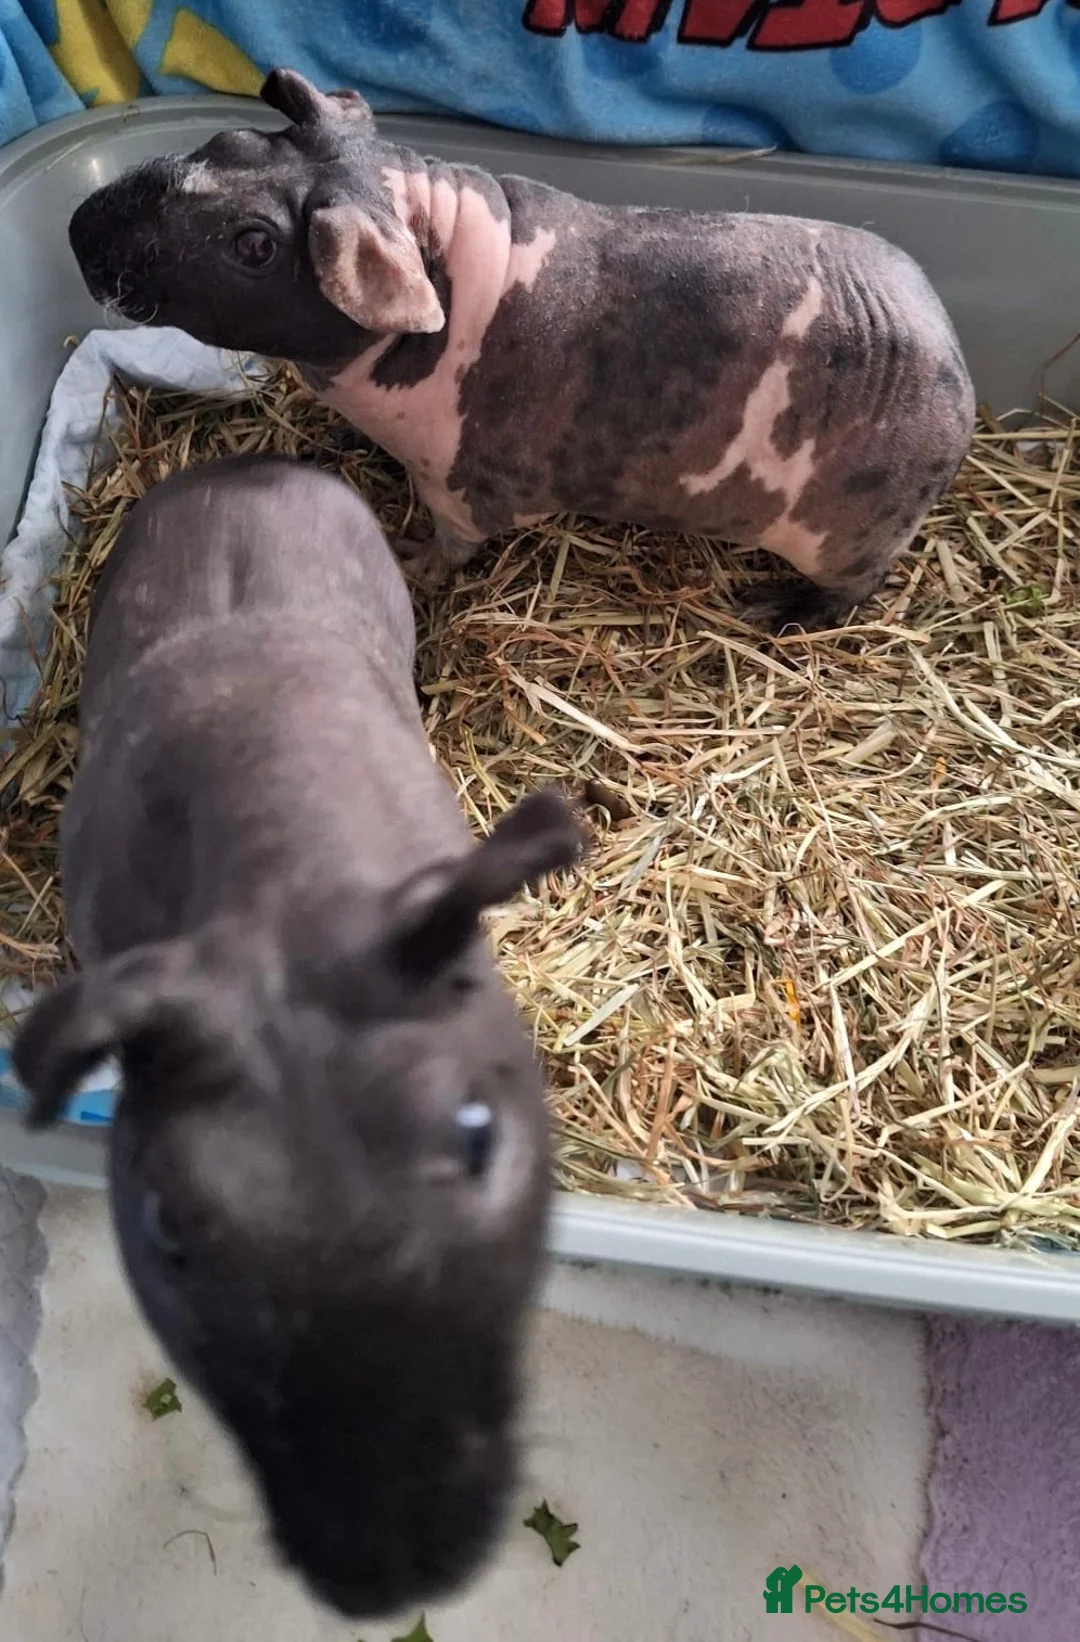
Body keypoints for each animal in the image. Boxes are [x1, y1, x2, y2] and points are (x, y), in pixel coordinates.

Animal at [67, 68, 976, 632]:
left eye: (254, 244)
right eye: (226, 141)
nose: (79, 229)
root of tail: (957, 377)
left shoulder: (460, 491)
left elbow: (449, 547)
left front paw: (410, 558)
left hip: (850, 543)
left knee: (854, 594)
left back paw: (773, 610)